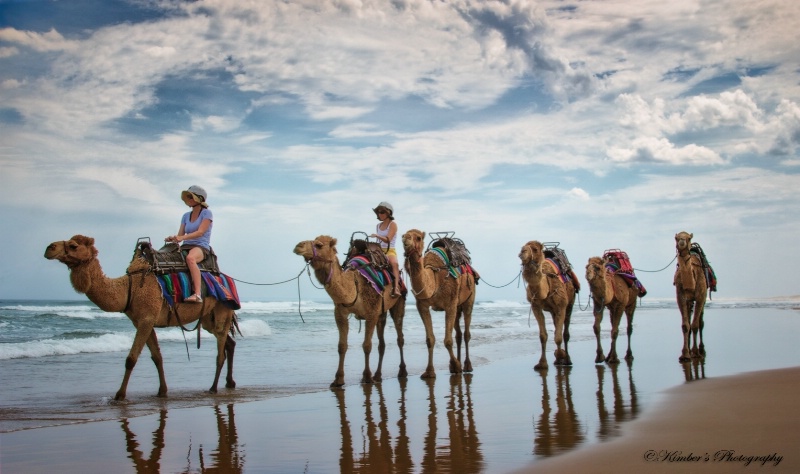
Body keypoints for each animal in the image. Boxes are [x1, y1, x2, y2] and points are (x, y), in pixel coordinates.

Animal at [44, 233, 236, 400]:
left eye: (73, 245)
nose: (49, 248)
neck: (129, 287)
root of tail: (228, 279)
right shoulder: (142, 321)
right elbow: (157, 357)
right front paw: (162, 391)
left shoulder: (146, 319)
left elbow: (131, 359)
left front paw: (119, 395)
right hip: (208, 318)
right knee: (229, 341)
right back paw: (230, 383)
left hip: (223, 309)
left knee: (220, 350)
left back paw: (213, 388)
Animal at [292, 235, 406, 386]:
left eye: (319, 245)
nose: (298, 246)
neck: (355, 285)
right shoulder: (340, 313)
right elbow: (342, 346)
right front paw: (338, 379)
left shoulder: (371, 313)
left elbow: (367, 345)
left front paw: (366, 377)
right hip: (381, 312)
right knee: (382, 343)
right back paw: (378, 375)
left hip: (398, 302)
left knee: (399, 337)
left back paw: (401, 372)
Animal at [400, 230, 476, 378]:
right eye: (403, 235)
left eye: (418, 237)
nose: (405, 239)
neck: (434, 278)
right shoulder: (422, 305)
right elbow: (430, 340)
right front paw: (429, 372)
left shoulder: (450, 304)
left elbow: (447, 340)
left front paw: (456, 366)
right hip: (457, 306)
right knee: (458, 334)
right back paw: (458, 363)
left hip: (469, 299)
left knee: (466, 333)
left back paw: (467, 366)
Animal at [520, 241, 576, 370]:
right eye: (522, 247)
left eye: (535, 249)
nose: (522, 252)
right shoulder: (535, 306)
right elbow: (543, 336)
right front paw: (542, 364)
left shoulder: (561, 306)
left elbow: (559, 336)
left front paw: (561, 356)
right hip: (552, 310)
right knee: (556, 327)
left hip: (570, 303)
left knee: (565, 332)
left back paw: (567, 359)